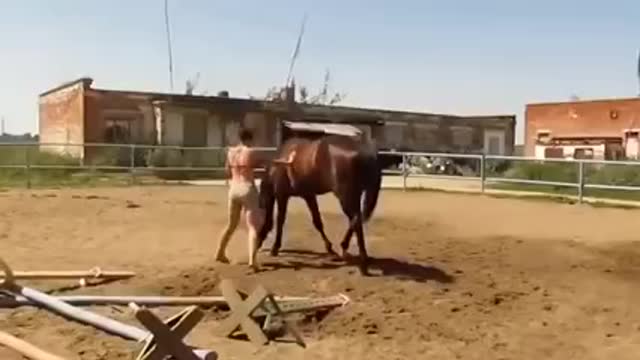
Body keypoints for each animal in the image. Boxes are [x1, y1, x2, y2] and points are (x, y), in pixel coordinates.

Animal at [258, 135, 382, 276]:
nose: (258, 243)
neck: (281, 164)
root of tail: (366, 151)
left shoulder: (281, 195)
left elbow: (280, 220)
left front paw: (275, 248)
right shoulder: (309, 195)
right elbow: (317, 221)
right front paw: (330, 250)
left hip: (345, 196)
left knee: (356, 220)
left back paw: (361, 264)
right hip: (354, 195)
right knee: (356, 219)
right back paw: (348, 250)